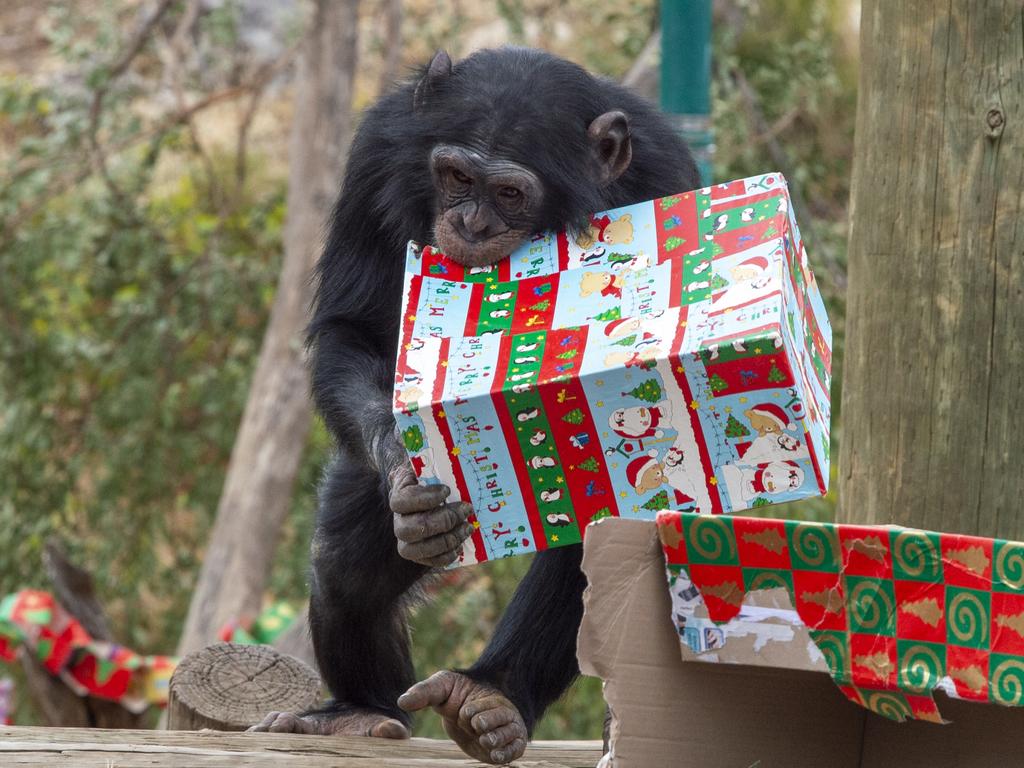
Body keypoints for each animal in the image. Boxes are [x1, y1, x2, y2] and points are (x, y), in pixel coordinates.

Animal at [250, 46, 700, 765]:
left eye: (510, 193)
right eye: (457, 176)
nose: (471, 221)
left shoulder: (662, 180)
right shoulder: (375, 149)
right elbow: (352, 325)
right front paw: (405, 472)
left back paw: (490, 696)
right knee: (343, 566)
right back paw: (356, 710)